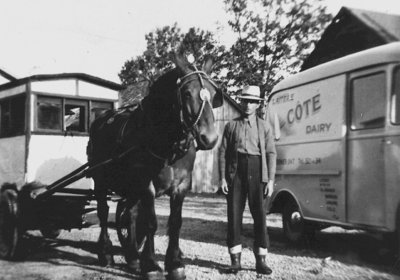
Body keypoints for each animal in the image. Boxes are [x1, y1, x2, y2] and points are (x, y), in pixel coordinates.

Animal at [87, 52, 222, 278]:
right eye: (186, 93)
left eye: (212, 94)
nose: (209, 138)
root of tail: (101, 119)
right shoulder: (146, 184)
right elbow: (151, 223)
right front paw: (150, 265)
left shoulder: (181, 185)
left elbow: (175, 223)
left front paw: (174, 263)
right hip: (101, 181)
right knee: (104, 212)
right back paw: (106, 253)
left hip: (130, 188)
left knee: (130, 215)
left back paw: (132, 257)